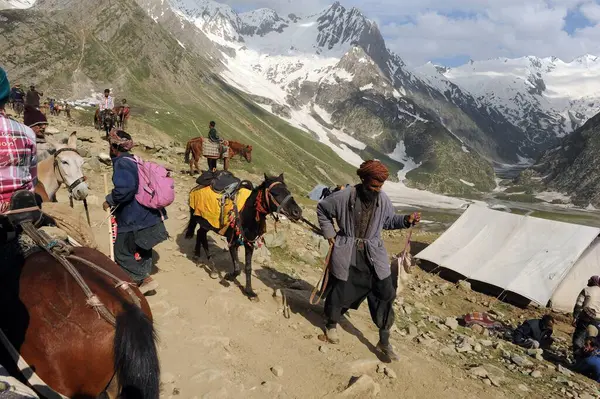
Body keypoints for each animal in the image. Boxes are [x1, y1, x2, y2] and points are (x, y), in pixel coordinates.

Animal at [184, 173, 304, 302]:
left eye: (288, 191)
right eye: (275, 193)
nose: (297, 212)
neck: (247, 214)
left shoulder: (249, 243)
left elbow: (248, 268)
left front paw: (249, 292)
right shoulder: (232, 242)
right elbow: (237, 268)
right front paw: (229, 277)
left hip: (206, 224)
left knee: (200, 234)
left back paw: (198, 256)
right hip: (204, 221)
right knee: (202, 237)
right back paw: (212, 268)